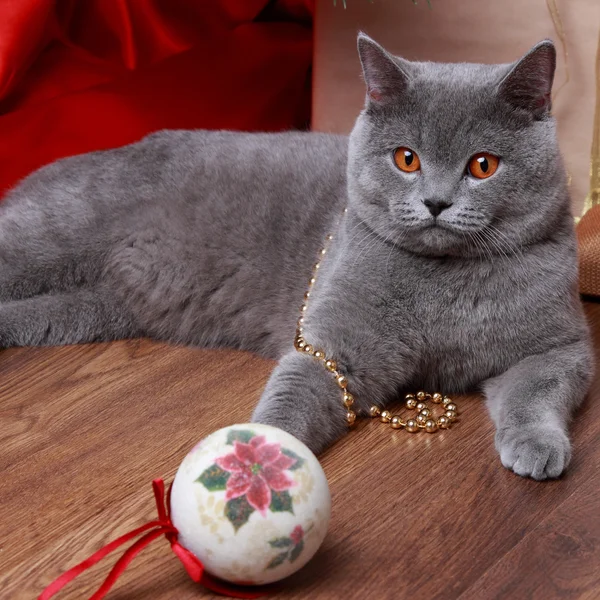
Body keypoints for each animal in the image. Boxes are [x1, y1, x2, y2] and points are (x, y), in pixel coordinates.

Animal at [0, 35, 592, 480]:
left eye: (483, 165)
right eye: (406, 158)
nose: (436, 202)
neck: (445, 284)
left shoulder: (561, 344)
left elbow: (539, 390)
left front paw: (538, 448)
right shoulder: (333, 345)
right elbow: (296, 394)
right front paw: (261, 456)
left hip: (89, 308)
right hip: (48, 239)